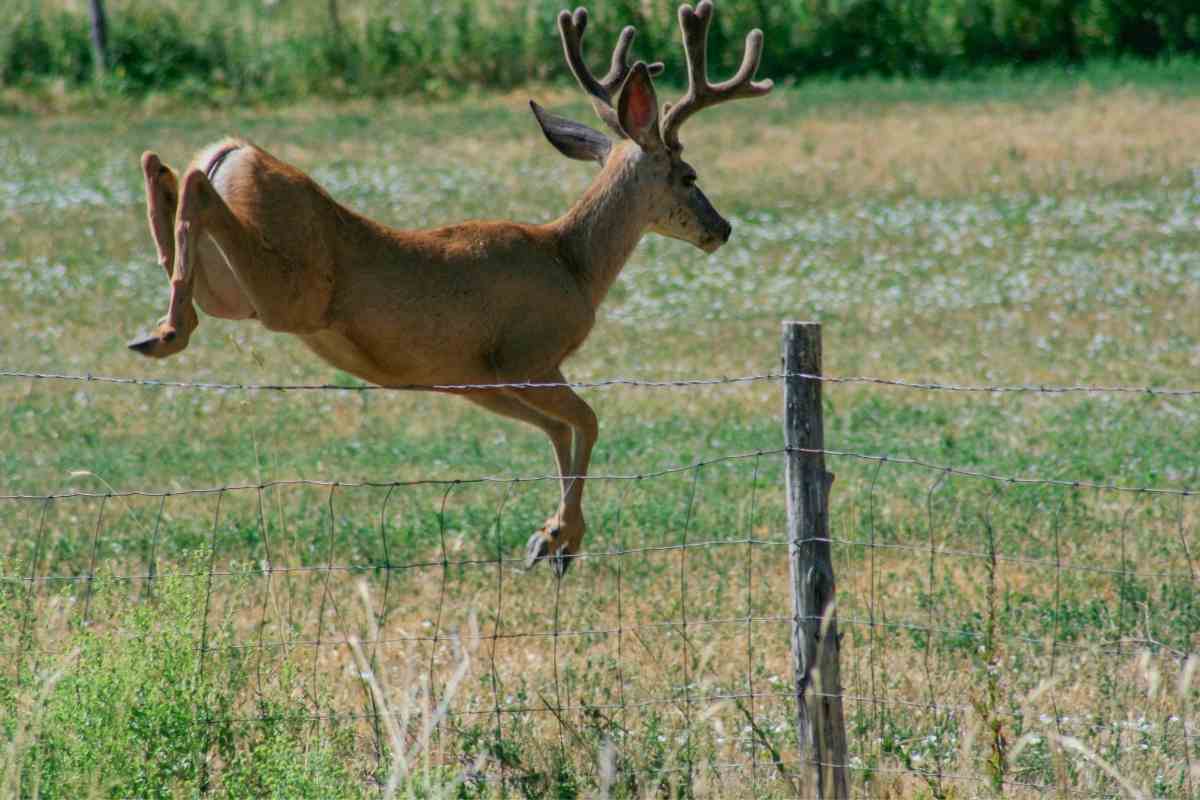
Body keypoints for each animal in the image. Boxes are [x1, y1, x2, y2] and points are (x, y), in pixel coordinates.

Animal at [128, 1, 772, 576]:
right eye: (688, 175)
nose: (722, 228)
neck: (573, 263)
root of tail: (232, 153)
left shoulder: (473, 378)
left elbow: (557, 431)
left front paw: (552, 541)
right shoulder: (528, 354)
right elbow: (588, 421)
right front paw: (560, 536)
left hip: (235, 293)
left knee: (166, 185)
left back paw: (156, 311)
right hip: (289, 292)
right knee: (194, 191)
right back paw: (166, 329)